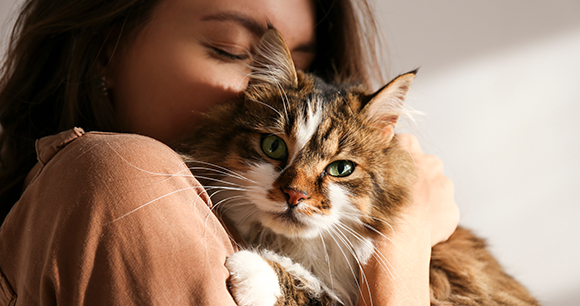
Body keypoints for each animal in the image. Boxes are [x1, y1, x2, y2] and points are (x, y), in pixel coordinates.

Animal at [176, 29, 540, 306]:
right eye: (274, 147)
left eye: (341, 169)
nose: (294, 195)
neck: (302, 250)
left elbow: (316, 293)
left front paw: (253, 271)